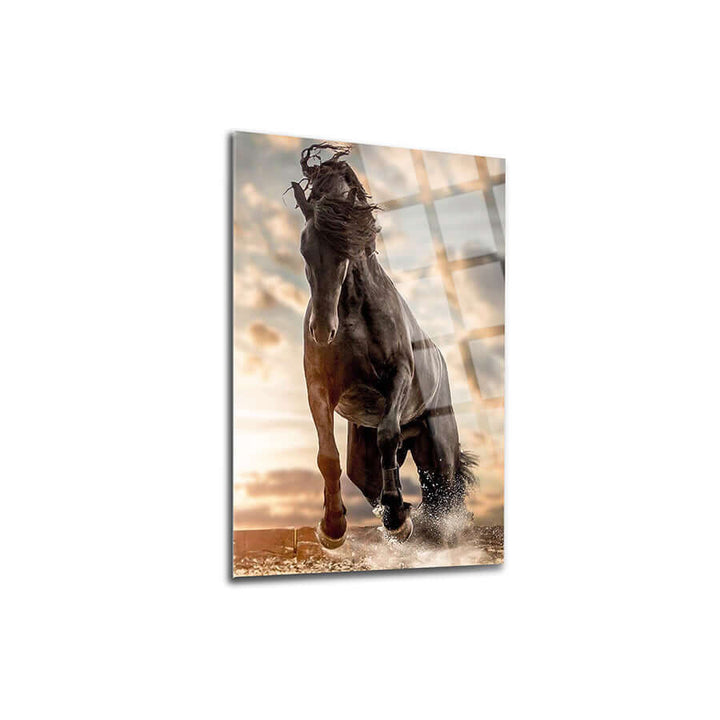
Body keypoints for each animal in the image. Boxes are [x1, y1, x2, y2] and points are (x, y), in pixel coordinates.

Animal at [290, 143, 476, 548]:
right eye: (305, 250)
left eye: (347, 250)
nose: (322, 330)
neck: (352, 313)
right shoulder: (318, 389)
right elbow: (327, 457)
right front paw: (332, 528)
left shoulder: (398, 375)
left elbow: (388, 435)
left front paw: (396, 520)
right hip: (366, 454)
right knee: (375, 479)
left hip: (439, 446)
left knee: (446, 490)